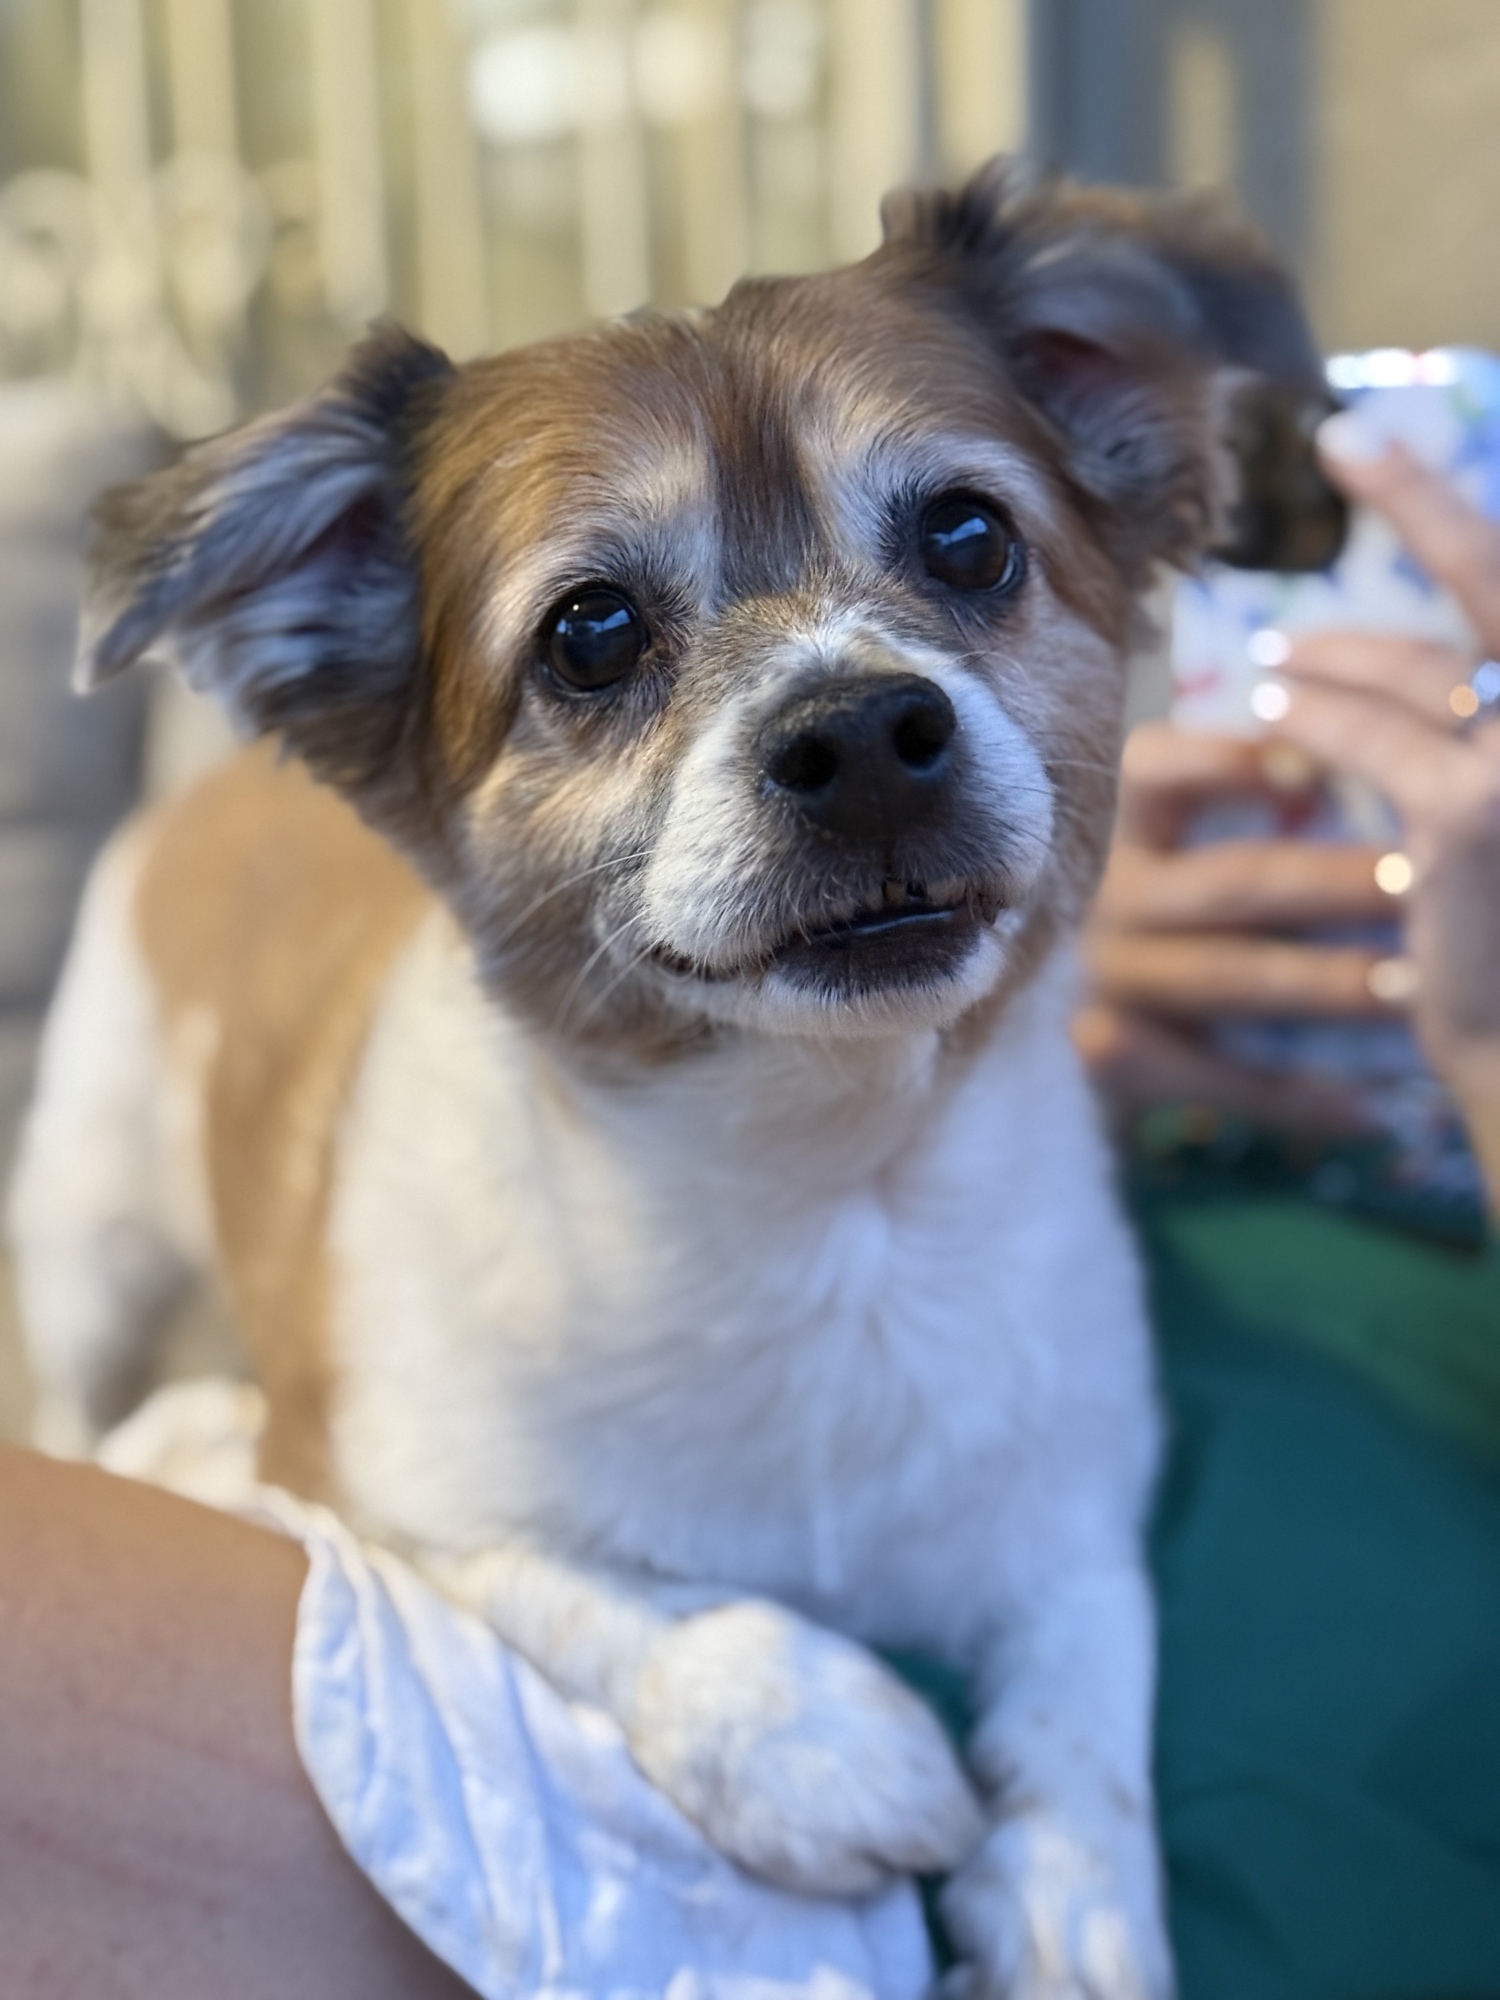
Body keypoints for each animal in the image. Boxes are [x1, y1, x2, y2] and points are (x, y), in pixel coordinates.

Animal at [10, 161, 1332, 1993]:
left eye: (971, 537)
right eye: (591, 632)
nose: (864, 735)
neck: (826, 1207)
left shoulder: (1072, 1491)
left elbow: (1091, 1668)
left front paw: (1072, 1895)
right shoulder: (357, 1476)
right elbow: (584, 1583)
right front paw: (809, 1728)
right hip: (93, 1239)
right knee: (79, 1389)